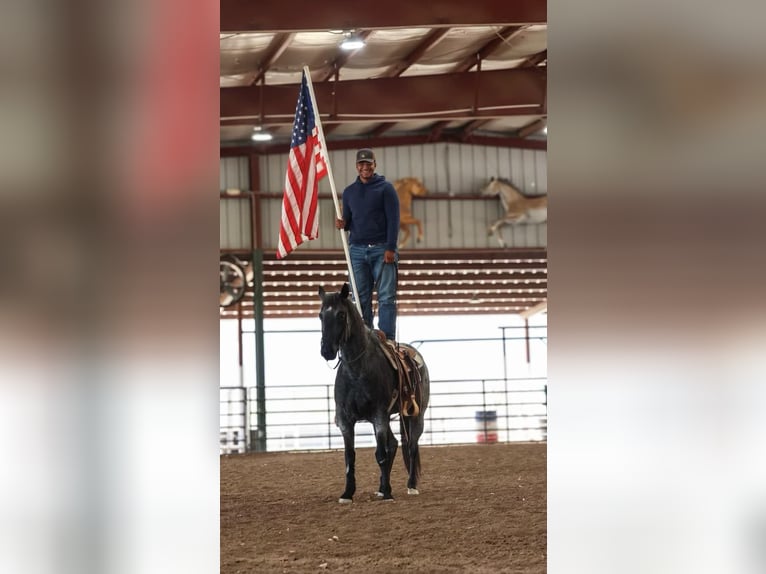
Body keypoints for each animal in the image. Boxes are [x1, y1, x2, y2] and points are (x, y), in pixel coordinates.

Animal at [318, 283, 430, 503]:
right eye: (320, 315)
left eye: (341, 314)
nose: (326, 350)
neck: (357, 370)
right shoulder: (345, 420)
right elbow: (350, 456)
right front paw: (348, 493)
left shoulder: (379, 415)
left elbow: (380, 454)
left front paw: (387, 492)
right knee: (394, 444)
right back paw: (380, 487)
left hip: (415, 415)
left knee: (411, 446)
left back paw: (411, 485)